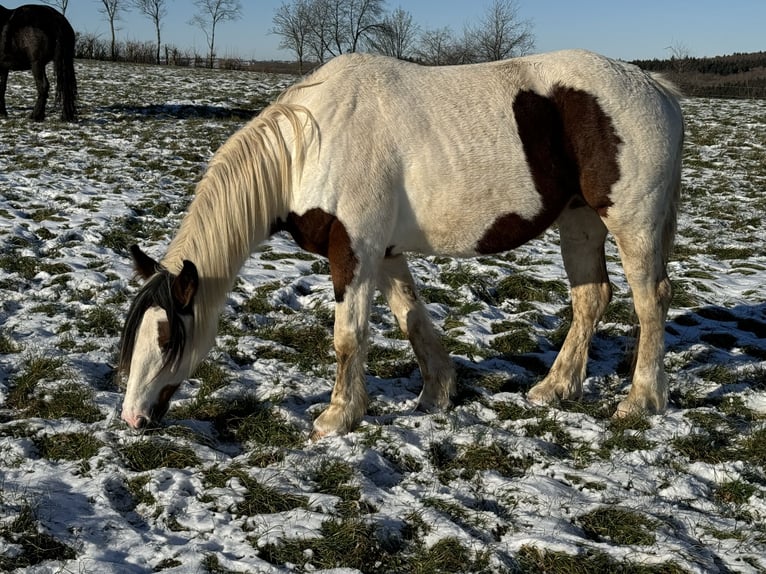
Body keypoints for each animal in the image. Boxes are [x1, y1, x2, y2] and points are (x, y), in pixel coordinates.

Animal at [118, 51, 684, 444]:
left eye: (166, 338)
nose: (132, 417)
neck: (310, 145)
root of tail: (656, 87)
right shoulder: (384, 253)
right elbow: (412, 319)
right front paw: (437, 394)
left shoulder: (354, 251)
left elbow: (349, 338)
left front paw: (336, 417)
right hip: (579, 219)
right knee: (591, 297)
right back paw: (555, 388)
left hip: (631, 223)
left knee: (650, 301)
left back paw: (641, 400)